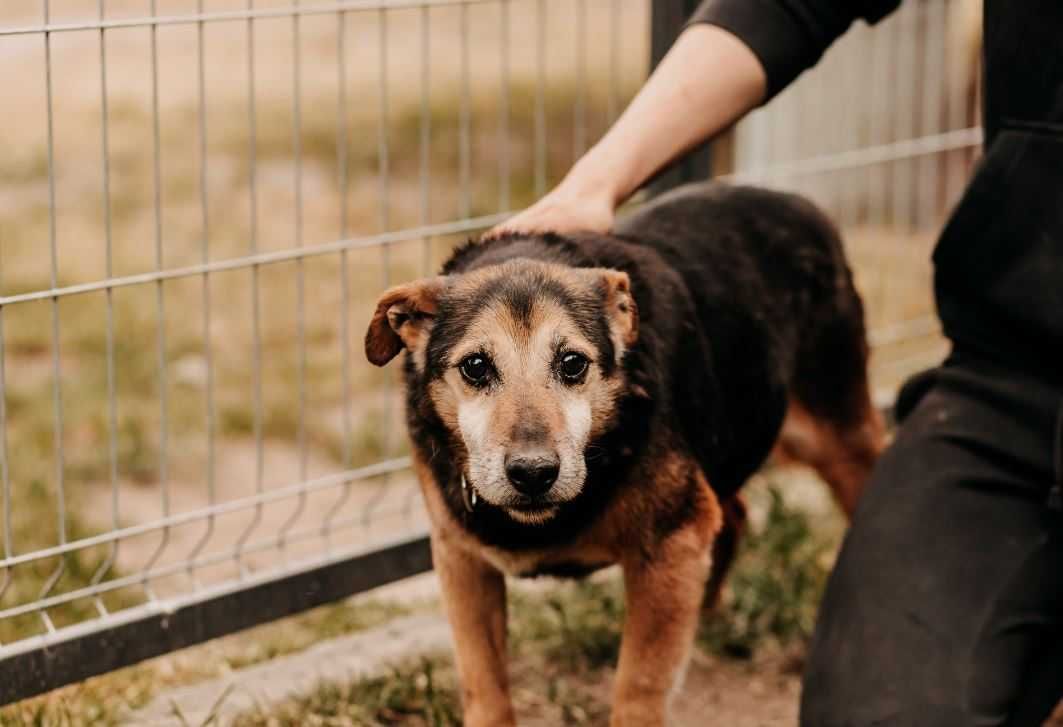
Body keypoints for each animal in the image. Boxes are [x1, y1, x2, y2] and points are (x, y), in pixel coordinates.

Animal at [361, 178, 884, 722]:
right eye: (476, 367)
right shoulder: (462, 560)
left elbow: (638, 688)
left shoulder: (671, 545)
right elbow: (483, 686)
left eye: (573, 363)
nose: (533, 473)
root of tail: (794, 198)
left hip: (838, 436)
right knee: (734, 515)